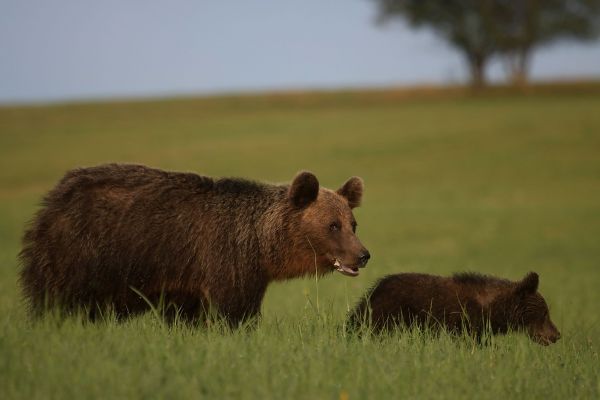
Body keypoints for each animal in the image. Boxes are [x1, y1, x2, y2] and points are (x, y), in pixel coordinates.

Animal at [19, 164, 370, 326]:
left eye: (353, 224)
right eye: (332, 225)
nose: (363, 255)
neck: (260, 246)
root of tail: (53, 198)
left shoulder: (186, 282)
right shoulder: (225, 262)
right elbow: (234, 312)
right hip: (78, 254)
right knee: (56, 302)